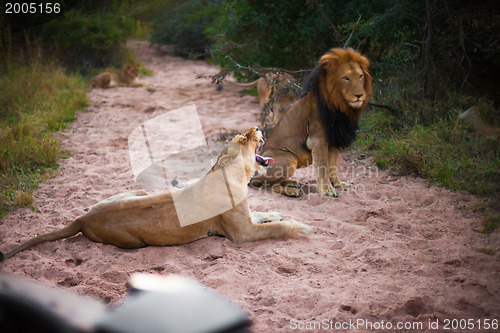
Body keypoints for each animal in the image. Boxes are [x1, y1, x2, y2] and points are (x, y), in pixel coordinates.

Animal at [0, 127, 312, 260]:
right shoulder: (241, 234)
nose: (257, 126)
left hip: (136, 191)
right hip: (134, 242)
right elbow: (278, 228)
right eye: (245, 137)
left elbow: (264, 214)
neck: (234, 173)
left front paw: (277, 212)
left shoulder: (246, 219)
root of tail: (83, 218)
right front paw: (302, 227)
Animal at [250, 47, 372, 196]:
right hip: (289, 158)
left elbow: (334, 165)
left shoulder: (334, 139)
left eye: (360, 76)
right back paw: (292, 191)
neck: (338, 105)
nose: (360, 95)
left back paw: (292, 183)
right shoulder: (317, 140)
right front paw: (327, 190)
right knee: (266, 186)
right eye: (346, 78)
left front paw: (337, 184)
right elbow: (323, 167)